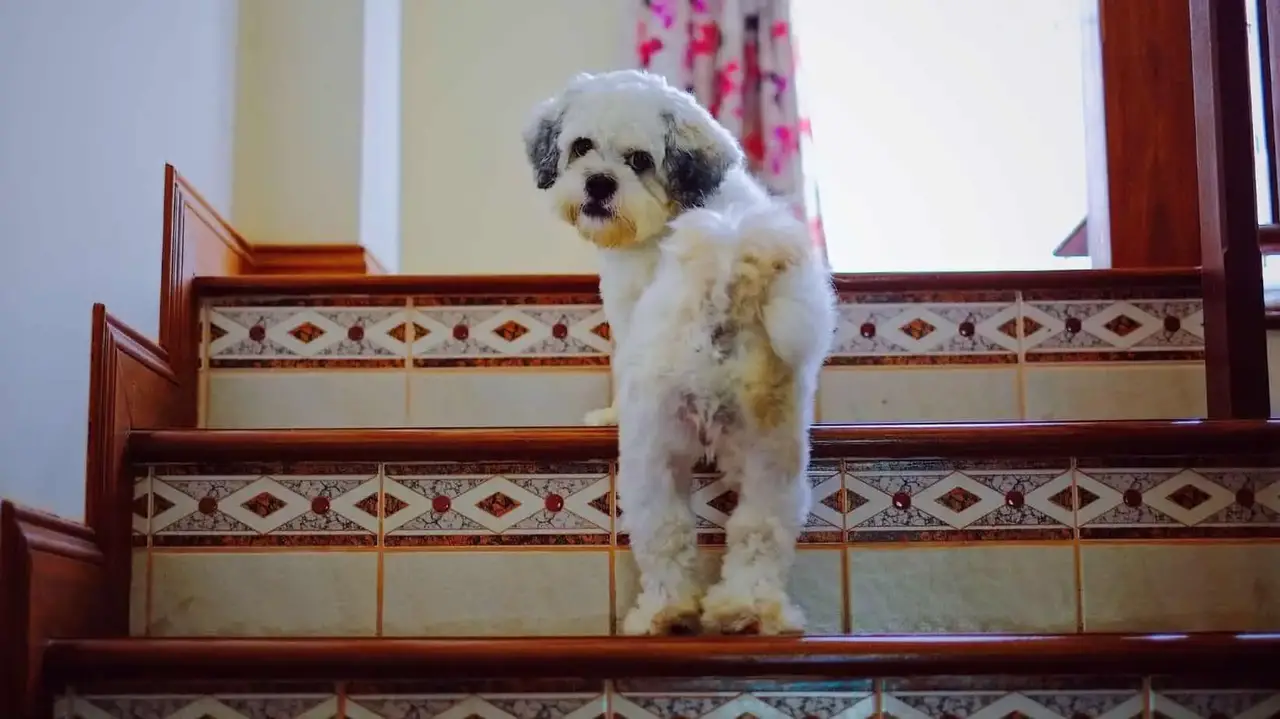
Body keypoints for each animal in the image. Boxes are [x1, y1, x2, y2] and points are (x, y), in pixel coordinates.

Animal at [522, 70, 834, 632]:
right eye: (581, 147)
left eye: (639, 160)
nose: (599, 183)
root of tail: (727, 281)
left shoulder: (628, 311)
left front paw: (608, 414)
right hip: (774, 453)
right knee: (760, 529)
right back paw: (747, 608)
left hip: (654, 449)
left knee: (666, 533)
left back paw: (662, 612)